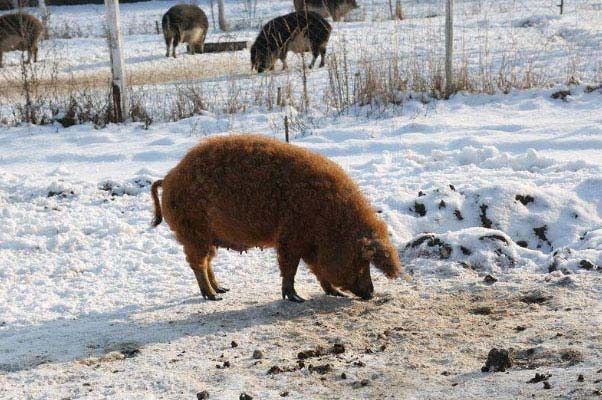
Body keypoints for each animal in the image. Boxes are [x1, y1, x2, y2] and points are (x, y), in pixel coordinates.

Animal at [150, 134, 404, 300]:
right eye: (361, 261)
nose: (371, 293)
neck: (330, 220)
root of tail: (169, 177)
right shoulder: (291, 236)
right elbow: (289, 267)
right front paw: (296, 298)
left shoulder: (309, 245)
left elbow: (317, 270)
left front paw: (335, 293)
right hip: (193, 231)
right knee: (198, 264)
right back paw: (213, 296)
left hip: (205, 236)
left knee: (208, 262)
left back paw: (222, 289)